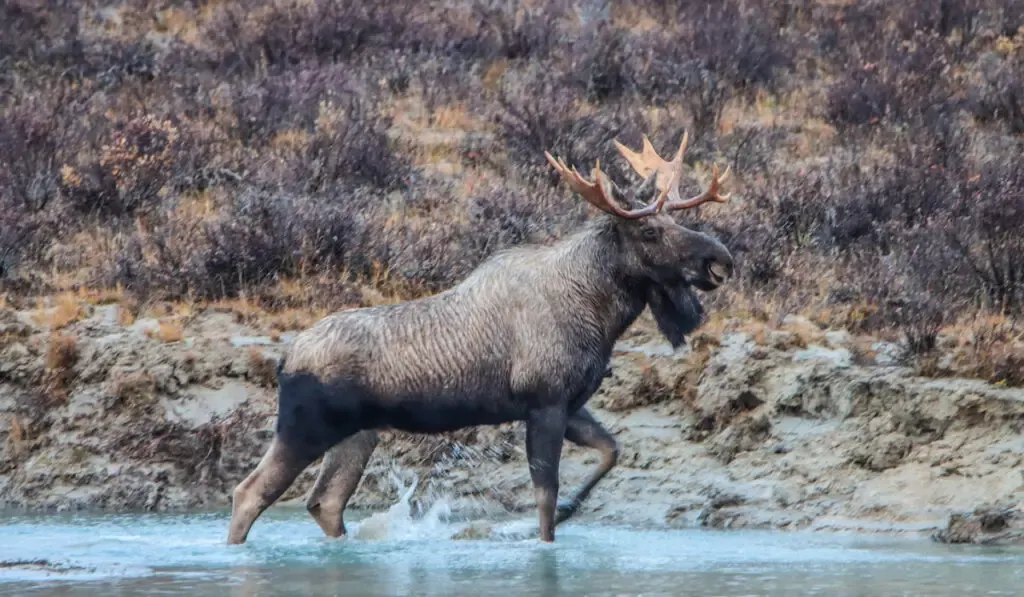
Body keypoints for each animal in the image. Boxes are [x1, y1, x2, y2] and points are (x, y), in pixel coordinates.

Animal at [228, 131, 733, 544]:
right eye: (649, 229)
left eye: (676, 221)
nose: (720, 260)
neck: (599, 312)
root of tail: (285, 360)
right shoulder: (544, 402)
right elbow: (545, 498)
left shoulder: (571, 403)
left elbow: (611, 451)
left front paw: (570, 510)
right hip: (305, 427)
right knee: (248, 493)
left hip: (357, 434)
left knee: (325, 502)